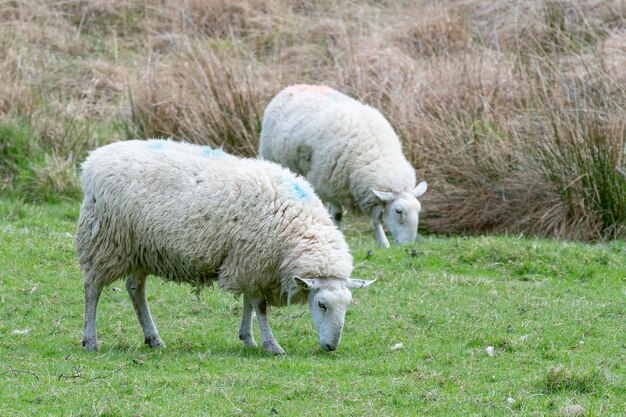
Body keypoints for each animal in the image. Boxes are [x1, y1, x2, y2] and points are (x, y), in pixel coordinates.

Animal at [77, 138, 370, 352]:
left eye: (347, 306)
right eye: (321, 305)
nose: (331, 346)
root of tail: (93, 160)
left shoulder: (251, 264)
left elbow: (249, 304)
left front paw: (248, 338)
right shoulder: (252, 260)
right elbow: (259, 306)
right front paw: (271, 344)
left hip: (140, 248)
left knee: (135, 289)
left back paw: (153, 339)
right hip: (105, 241)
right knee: (92, 288)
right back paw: (91, 340)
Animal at [258, 84, 424, 247]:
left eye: (418, 210)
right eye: (398, 211)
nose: (408, 245)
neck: (375, 154)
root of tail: (292, 87)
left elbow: (375, 219)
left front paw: (383, 243)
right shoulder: (330, 183)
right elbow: (337, 215)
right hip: (272, 156)